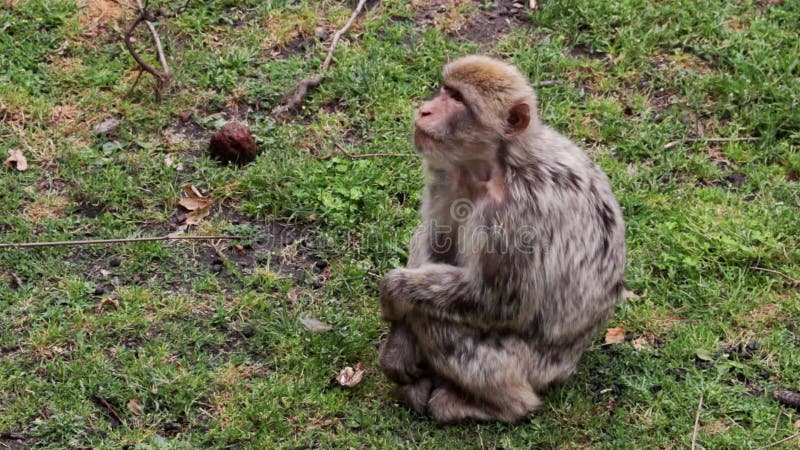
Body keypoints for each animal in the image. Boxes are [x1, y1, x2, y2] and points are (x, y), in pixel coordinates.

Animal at [378, 55, 628, 422]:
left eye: (458, 99)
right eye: (446, 90)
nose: (425, 110)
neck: (498, 164)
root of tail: (571, 361)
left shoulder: (515, 215)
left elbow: (501, 302)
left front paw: (394, 291)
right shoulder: (446, 174)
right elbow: (436, 240)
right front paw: (399, 346)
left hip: (526, 366)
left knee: (438, 319)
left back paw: (499, 404)